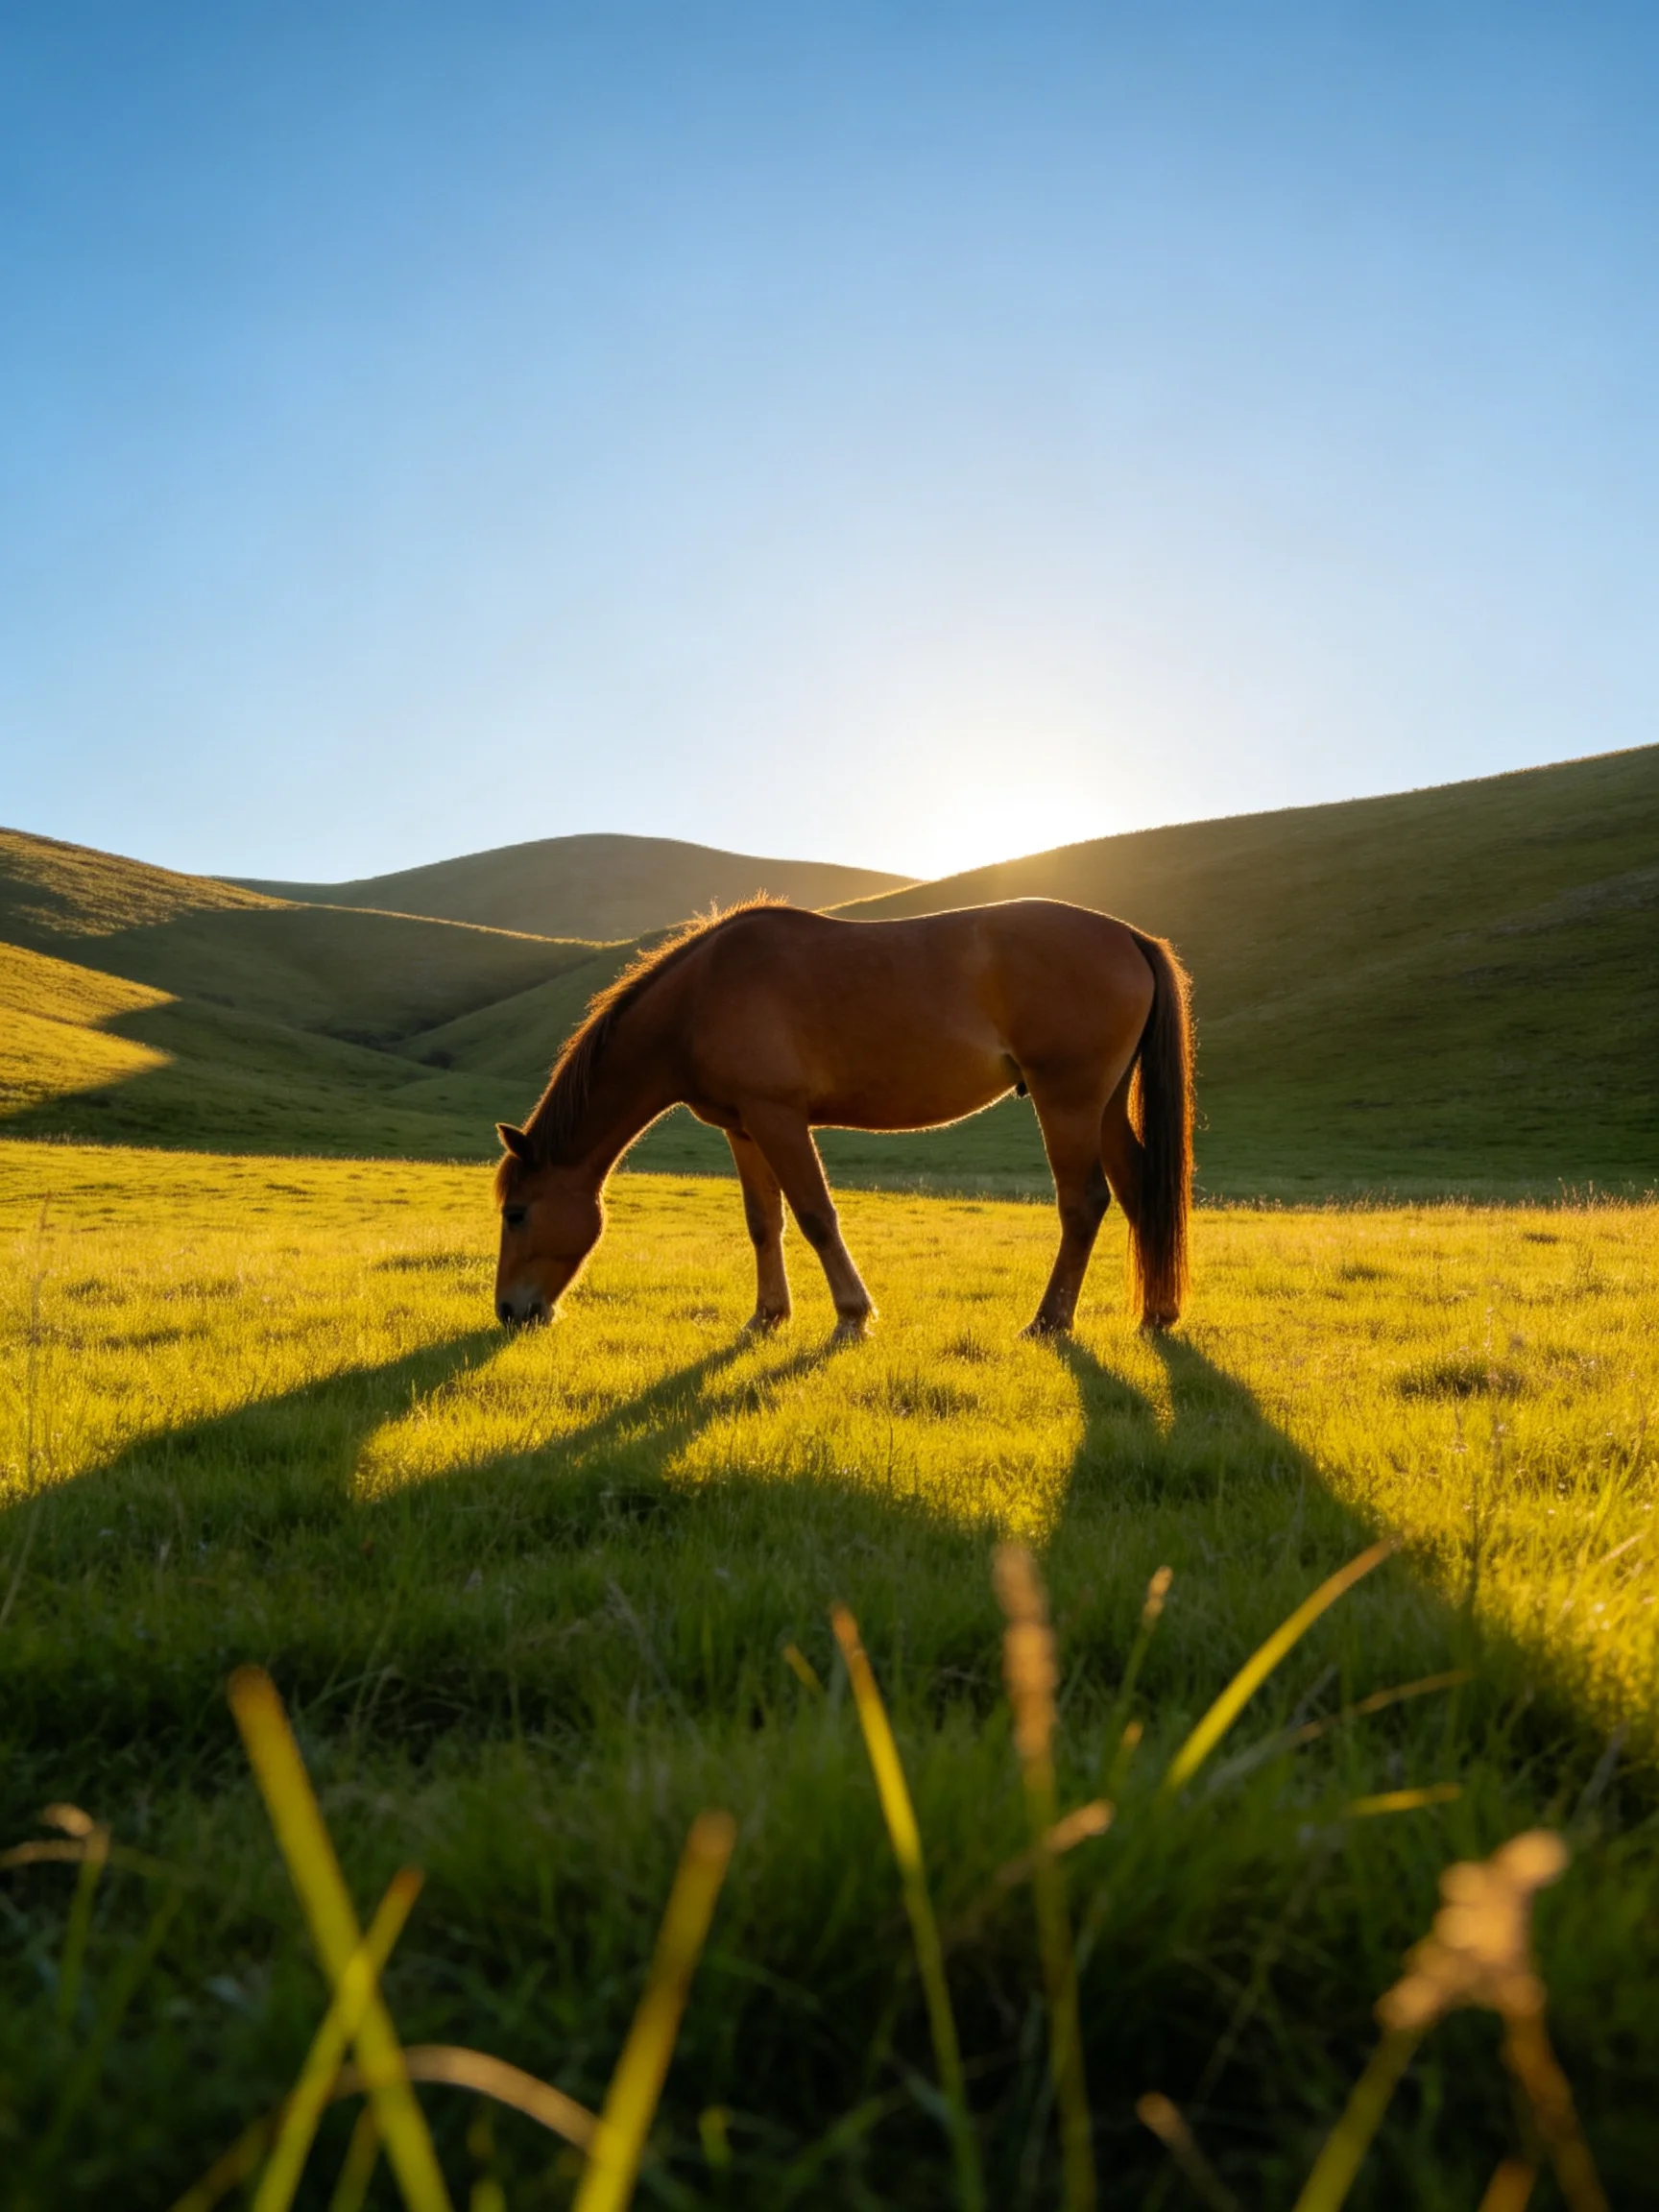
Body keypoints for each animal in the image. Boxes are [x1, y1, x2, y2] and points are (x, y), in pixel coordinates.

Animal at [493, 897, 1193, 1339]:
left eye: (516, 1213)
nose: (509, 1311)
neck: (698, 998)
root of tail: (1128, 936)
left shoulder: (778, 1117)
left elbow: (814, 1215)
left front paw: (853, 1314)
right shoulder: (743, 1127)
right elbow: (764, 1223)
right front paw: (767, 1317)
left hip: (1067, 1101)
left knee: (1083, 1204)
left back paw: (1049, 1321)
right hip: (1103, 1107)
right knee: (1139, 1192)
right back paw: (1155, 1315)